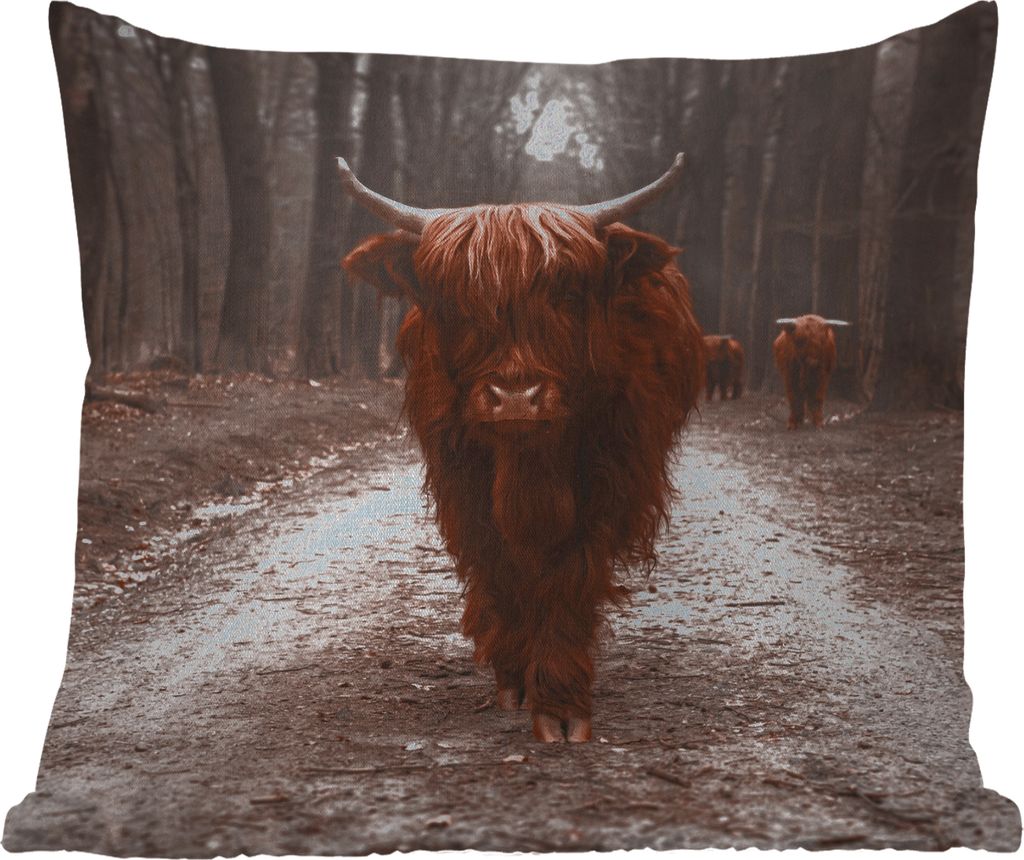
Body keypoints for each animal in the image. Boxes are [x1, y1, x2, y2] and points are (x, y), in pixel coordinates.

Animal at [338, 154, 705, 742]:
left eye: (567, 295)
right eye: (458, 302)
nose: (515, 398)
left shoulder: (608, 482)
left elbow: (568, 577)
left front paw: (561, 703)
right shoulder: (463, 485)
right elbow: (500, 569)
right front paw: (514, 677)